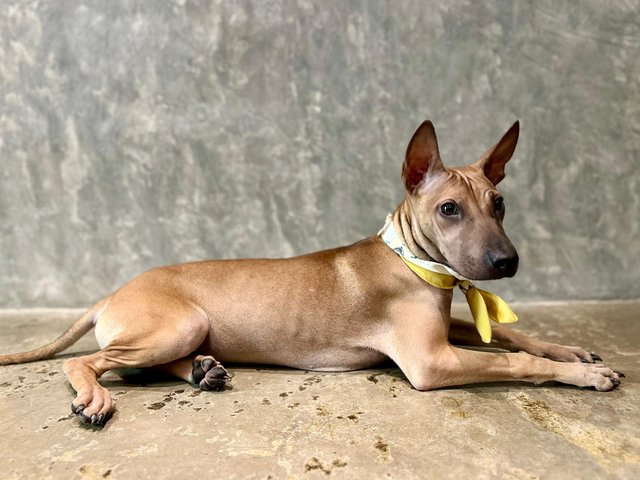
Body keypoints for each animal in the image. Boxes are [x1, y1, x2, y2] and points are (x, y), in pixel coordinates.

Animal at [0, 118, 620, 426]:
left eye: (500, 204)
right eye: (449, 209)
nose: (506, 263)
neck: (415, 262)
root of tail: (110, 295)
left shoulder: (447, 330)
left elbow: (514, 336)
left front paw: (572, 352)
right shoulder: (430, 360)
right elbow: (514, 360)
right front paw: (584, 376)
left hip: (183, 331)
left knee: (135, 365)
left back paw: (203, 370)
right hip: (175, 324)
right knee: (88, 363)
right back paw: (97, 398)